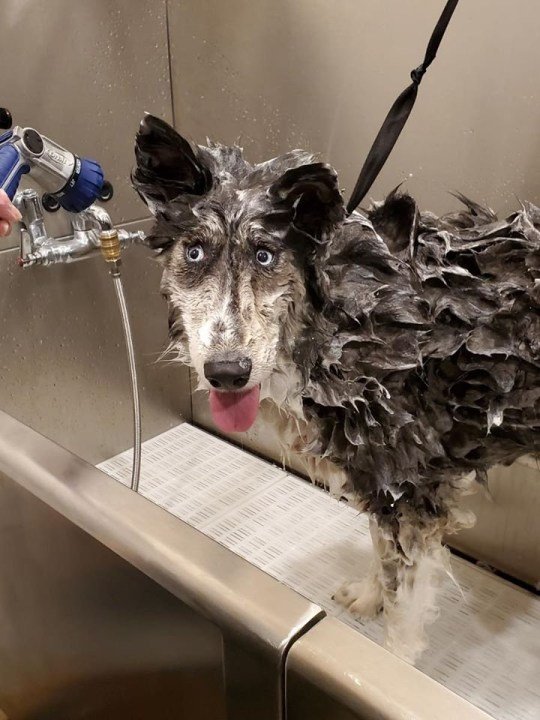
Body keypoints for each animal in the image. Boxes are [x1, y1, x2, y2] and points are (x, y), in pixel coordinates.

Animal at [132, 114, 540, 664]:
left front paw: (392, 664)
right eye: (194, 252)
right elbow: (381, 552)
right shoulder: (378, 471)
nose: (227, 371)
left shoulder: (414, 485)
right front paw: (368, 596)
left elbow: (404, 606)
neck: (340, 321)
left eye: (266, 255)